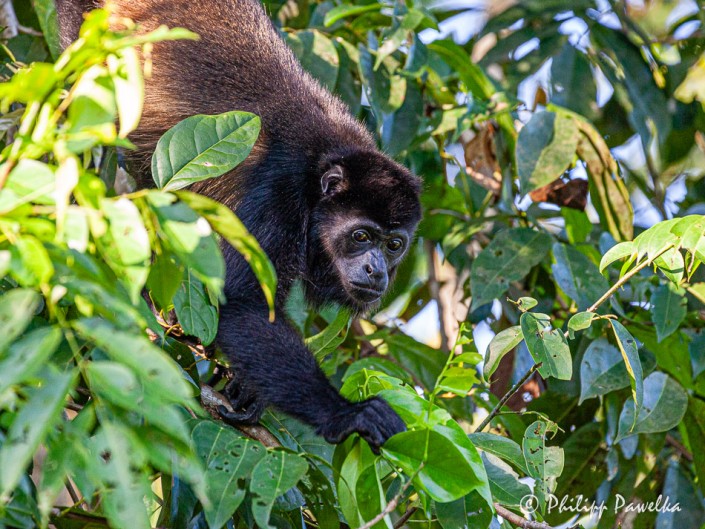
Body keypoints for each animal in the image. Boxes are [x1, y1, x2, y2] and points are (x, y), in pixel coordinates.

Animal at [56, 0, 418, 450]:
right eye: (361, 236)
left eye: (394, 245)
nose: (377, 271)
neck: (321, 173)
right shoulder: (279, 193)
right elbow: (243, 305)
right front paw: (346, 414)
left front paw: (247, 391)